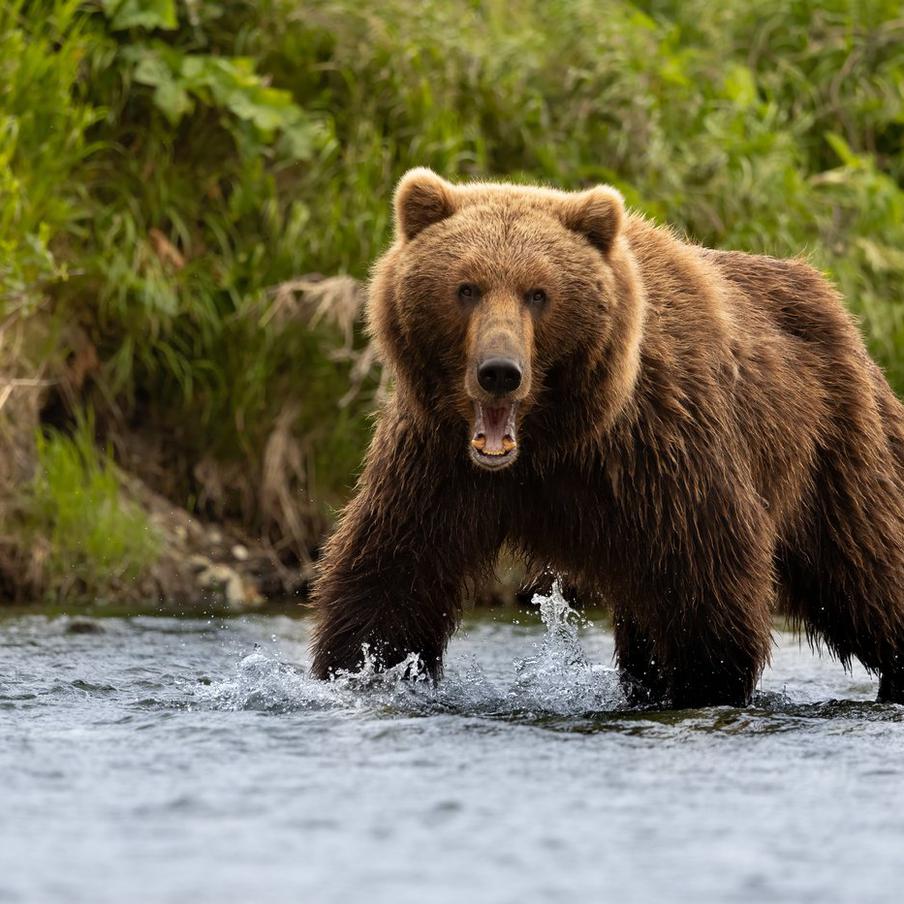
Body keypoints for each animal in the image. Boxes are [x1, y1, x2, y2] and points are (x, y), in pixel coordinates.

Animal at [310, 167, 904, 708]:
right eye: (466, 288)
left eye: (538, 293)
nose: (500, 371)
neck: (552, 440)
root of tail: (834, 302)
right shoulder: (436, 464)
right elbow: (391, 578)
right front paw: (361, 670)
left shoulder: (666, 450)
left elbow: (707, 588)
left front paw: (701, 684)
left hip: (835, 450)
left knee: (868, 566)